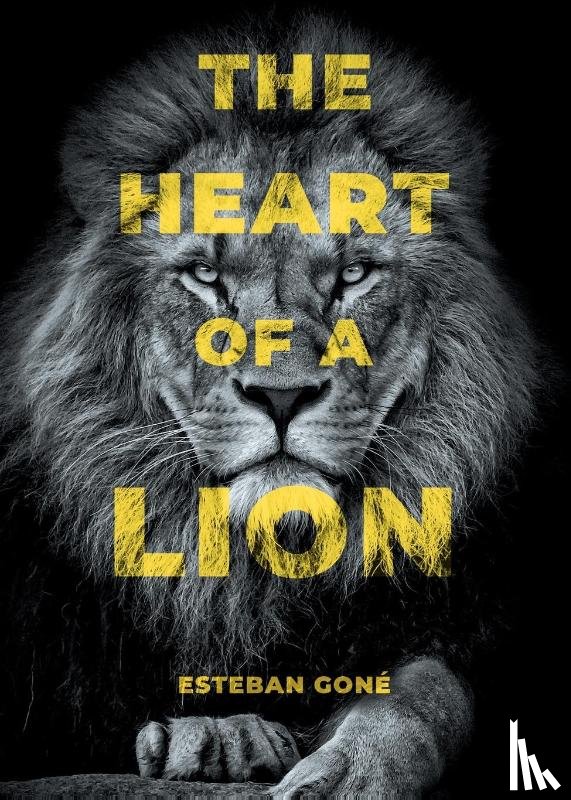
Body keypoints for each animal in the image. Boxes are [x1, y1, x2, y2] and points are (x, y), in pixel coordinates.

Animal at [0, 12, 542, 796]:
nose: (281, 394)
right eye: (204, 276)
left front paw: (351, 769)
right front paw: (216, 735)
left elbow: (423, 690)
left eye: (353, 274)